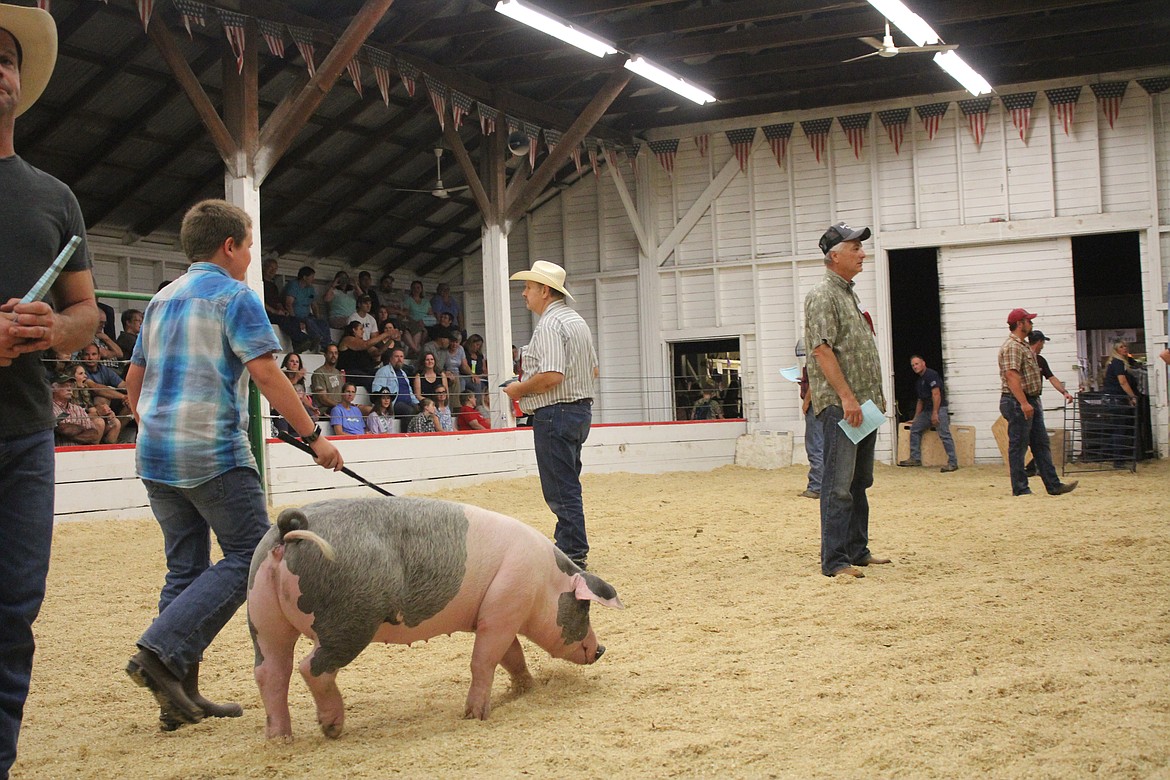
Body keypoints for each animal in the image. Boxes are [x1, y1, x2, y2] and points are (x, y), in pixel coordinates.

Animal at [246, 498, 622, 743]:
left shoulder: (496, 614)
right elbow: (484, 660)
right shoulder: (505, 606)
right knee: (311, 667)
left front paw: (526, 689)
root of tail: (287, 532)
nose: (601, 649)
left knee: (270, 672)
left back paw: (279, 739)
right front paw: (475, 716)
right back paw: (332, 729)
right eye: (584, 608)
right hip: (348, 619)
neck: (545, 580)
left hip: (262, 616)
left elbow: (511, 656)